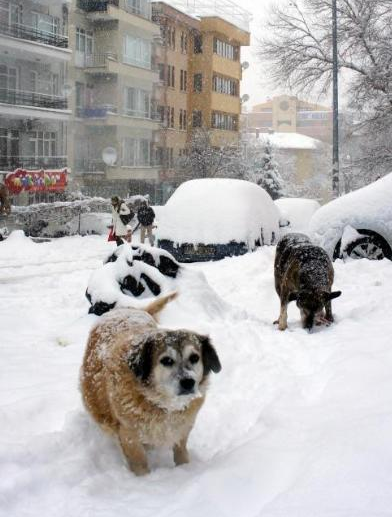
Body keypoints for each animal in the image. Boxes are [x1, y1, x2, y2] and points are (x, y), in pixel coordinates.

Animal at [80, 294, 220, 476]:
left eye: (195, 358)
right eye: (166, 360)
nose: (189, 382)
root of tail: (129, 309)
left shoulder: (183, 428)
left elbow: (180, 450)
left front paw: (184, 468)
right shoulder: (129, 435)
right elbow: (139, 462)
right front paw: (144, 479)